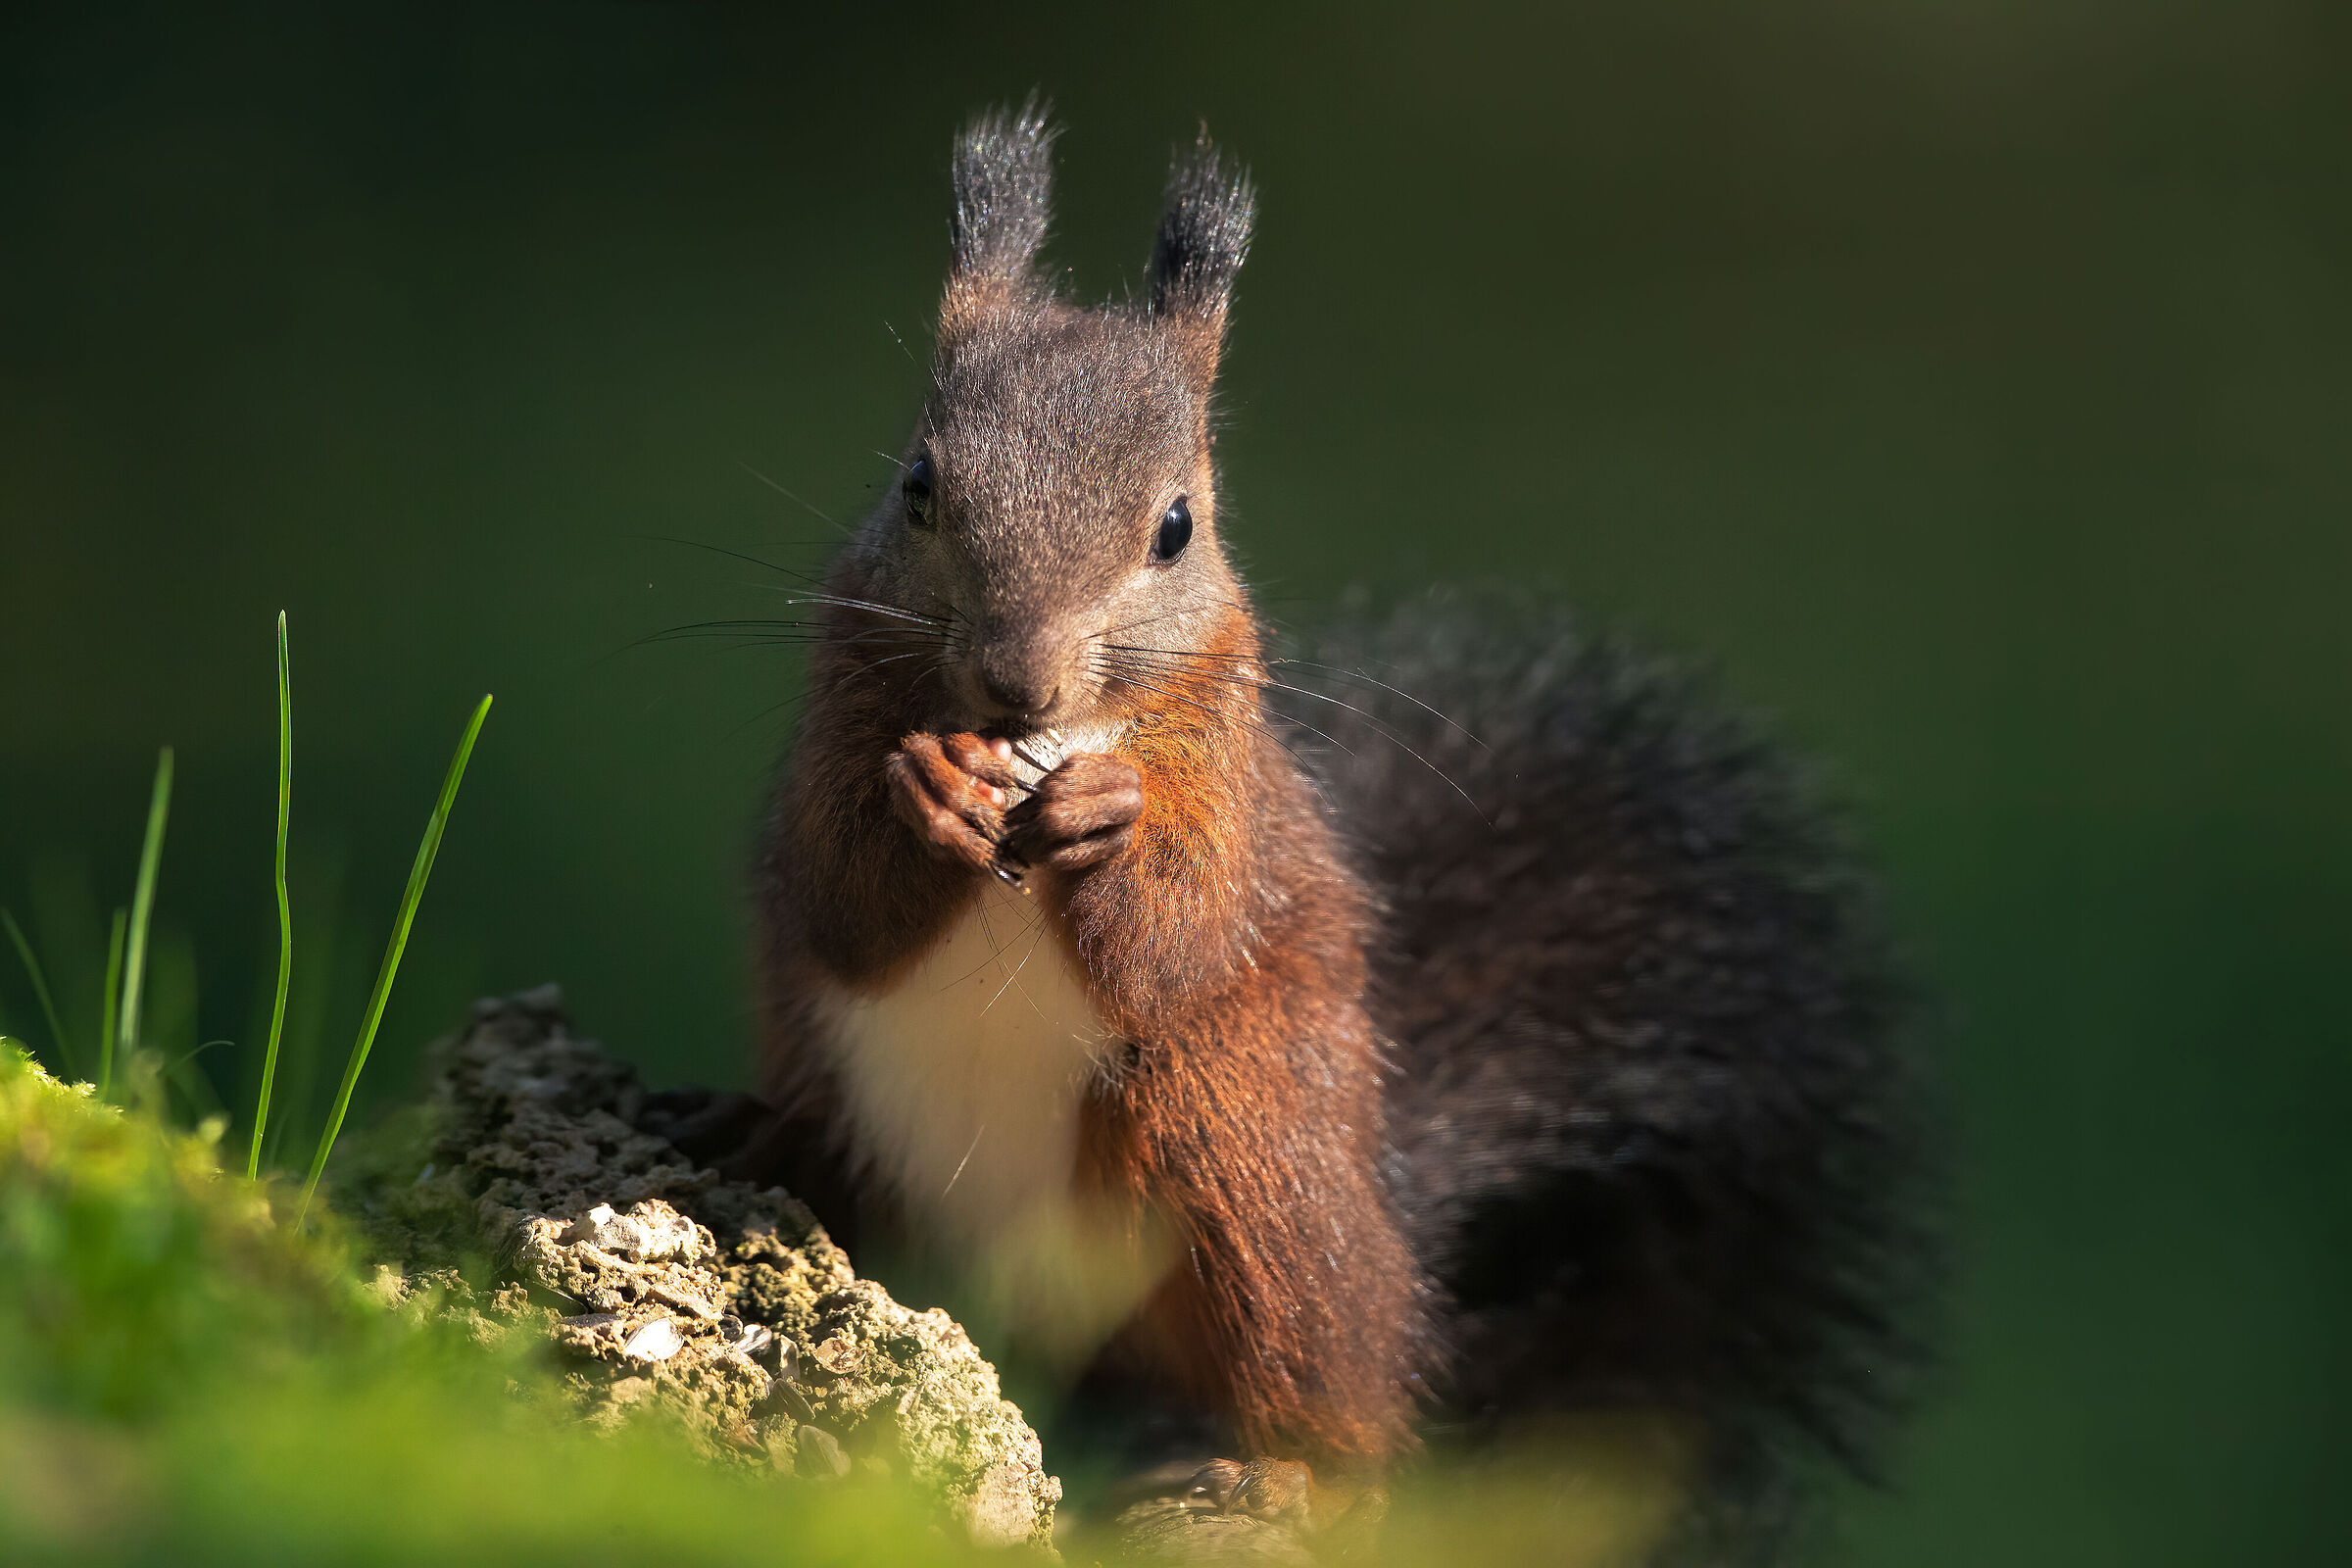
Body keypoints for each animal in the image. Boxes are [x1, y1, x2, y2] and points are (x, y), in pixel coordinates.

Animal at [709, 103, 1933, 1546]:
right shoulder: (831, 717)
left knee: (1331, 1385)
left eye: (1178, 526)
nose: (1020, 684)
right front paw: (935, 792)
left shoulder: (1228, 773)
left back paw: (1293, 1466)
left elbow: (1187, 933)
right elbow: (836, 894)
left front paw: (1110, 819)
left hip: (1244, 1159)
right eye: (916, 486)